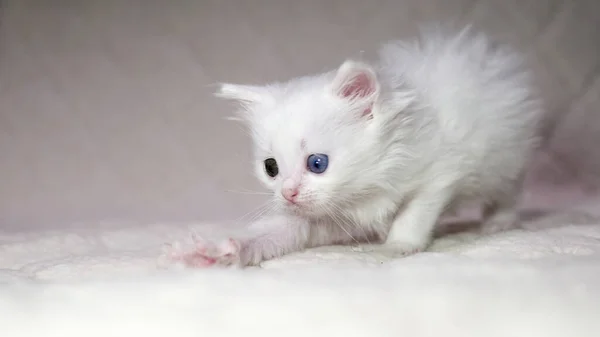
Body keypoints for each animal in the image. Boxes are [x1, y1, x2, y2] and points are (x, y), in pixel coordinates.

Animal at [164, 25, 544, 268]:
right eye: (271, 168)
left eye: (317, 163)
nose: (288, 193)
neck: (365, 186)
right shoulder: (317, 218)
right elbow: (272, 234)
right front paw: (217, 252)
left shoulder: (440, 172)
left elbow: (413, 213)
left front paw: (396, 247)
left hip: (505, 157)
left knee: (508, 191)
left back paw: (499, 222)